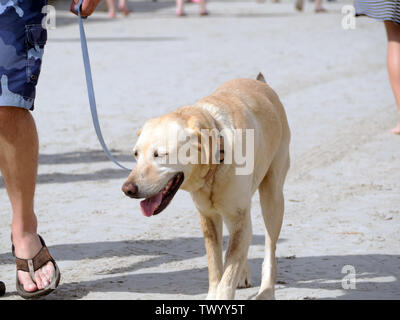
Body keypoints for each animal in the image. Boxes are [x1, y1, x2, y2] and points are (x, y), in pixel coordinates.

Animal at [122, 74, 290, 302]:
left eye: (160, 154)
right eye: (135, 154)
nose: (127, 189)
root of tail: (261, 83)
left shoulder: (238, 215)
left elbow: (228, 273)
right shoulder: (209, 218)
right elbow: (217, 267)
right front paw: (214, 293)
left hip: (272, 198)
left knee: (269, 249)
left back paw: (266, 292)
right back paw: (243, 274)